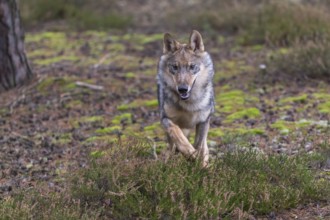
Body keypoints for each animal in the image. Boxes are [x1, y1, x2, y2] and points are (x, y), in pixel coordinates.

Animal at [157, 29, 215, 167]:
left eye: (192, 66)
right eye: (175, 67)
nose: (182, 89)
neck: (189, 104)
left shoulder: (203, 121)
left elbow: (199, 146)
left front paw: (199, 164)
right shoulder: (165, 119)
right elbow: (178, 136)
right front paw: (190, 154)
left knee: (205, 148)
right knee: (170, 147)